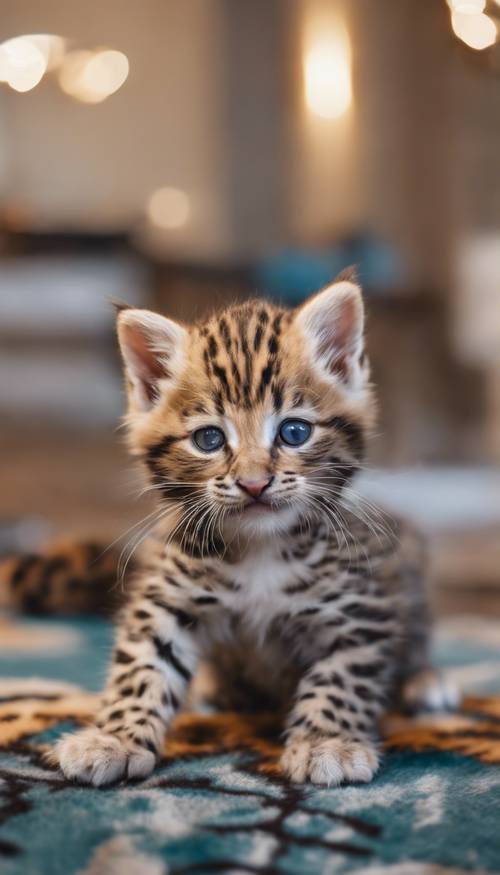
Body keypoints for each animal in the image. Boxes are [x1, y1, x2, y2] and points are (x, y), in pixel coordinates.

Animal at [54, 278, 458, 788]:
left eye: (294, 432)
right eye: (208, 439)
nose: (253, 483)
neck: (261, 548)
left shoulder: (360, 610)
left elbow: (342, 678)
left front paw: (327, 742)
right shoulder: (167, 596)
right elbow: (142, 667)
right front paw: (116, 737)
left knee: (418, 636)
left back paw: (426, 681)